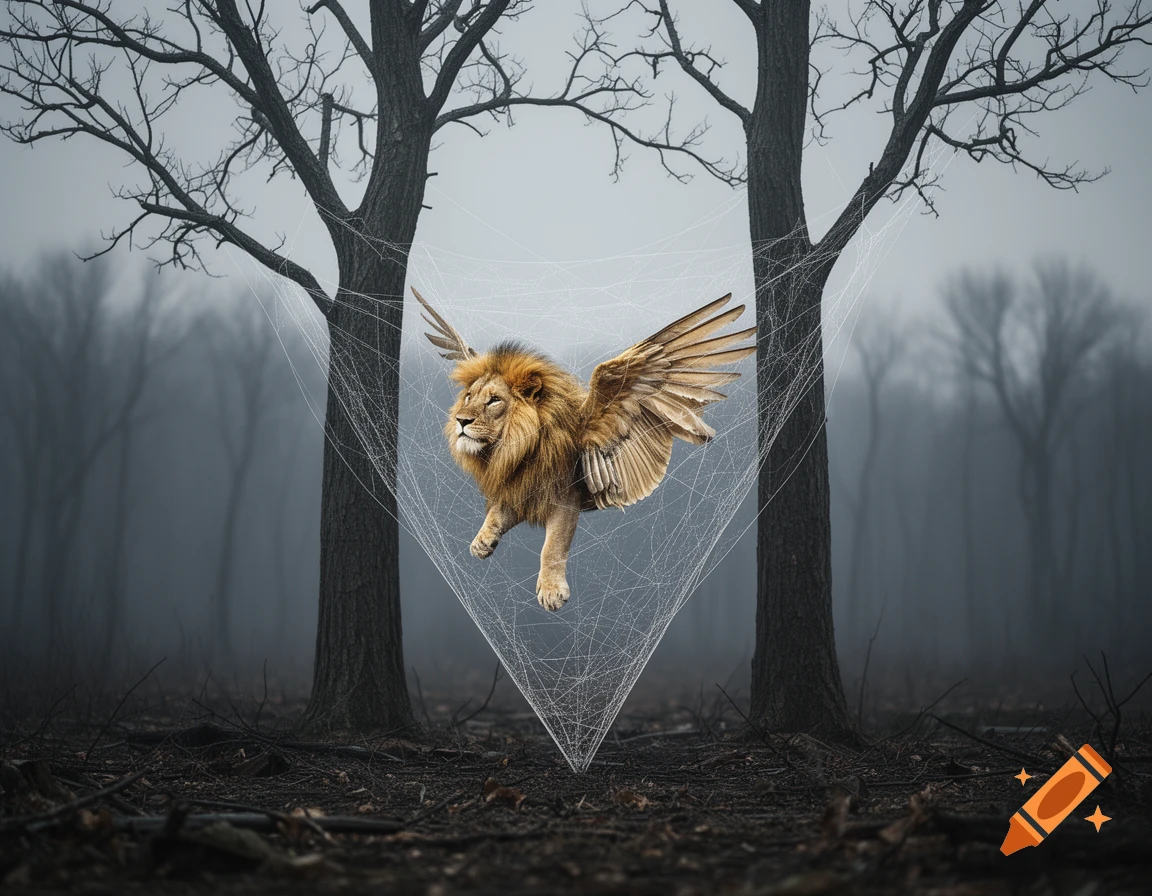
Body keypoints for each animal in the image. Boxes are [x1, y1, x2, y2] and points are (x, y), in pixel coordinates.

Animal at [412, 287, 755, 611]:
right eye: (469, 396)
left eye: (494, 400)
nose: (461, 420)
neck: (515, 449)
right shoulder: (520, 487)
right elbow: (497, 513)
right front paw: (482, 542)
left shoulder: (563, 498)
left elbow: (552, 547)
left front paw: (551, 591)